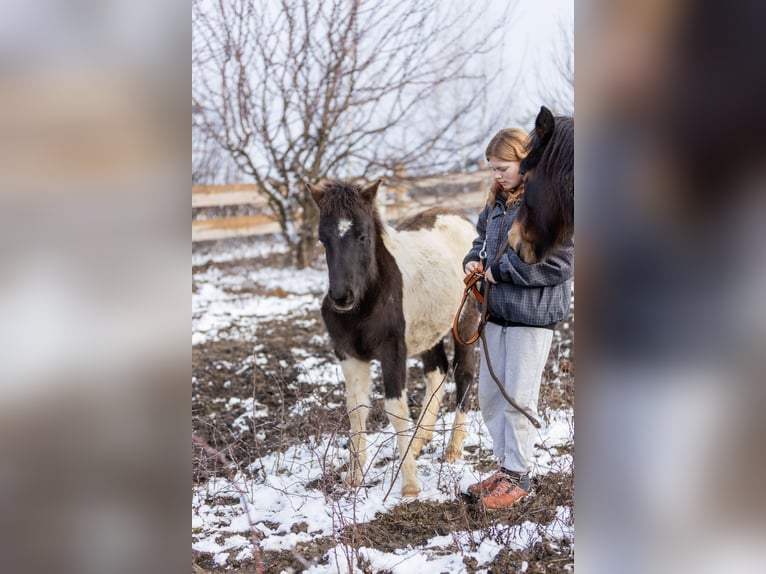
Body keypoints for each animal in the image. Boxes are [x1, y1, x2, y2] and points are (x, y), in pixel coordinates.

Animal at [308, 180, 476, 500]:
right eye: (322, 239)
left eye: (363, 235)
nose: (341, 297)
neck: (367, 301)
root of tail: (466, 221)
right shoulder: (349, 355)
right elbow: (356, 409)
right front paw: (353, 479)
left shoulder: (393, 351)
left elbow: (396, 410)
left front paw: (409, 485)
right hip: (429, 331)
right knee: (437, 371)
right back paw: (419, 440)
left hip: (466, 322)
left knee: (463, 374)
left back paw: (453, 449)